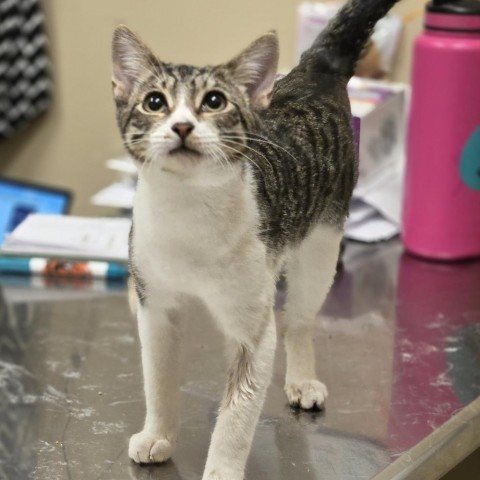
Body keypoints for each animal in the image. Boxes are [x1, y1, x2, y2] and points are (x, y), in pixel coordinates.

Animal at [111, 0, 398, 480]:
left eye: (214, 101)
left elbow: (238, 414)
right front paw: (158, 434)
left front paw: (222, 468)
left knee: (298, 321)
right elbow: (159, 380)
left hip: (321, 246)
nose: (182, 127)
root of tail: (315, 68)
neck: (189, 212)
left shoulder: (252, 331)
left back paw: (301, 378)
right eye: (154, 103)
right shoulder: (155, 306)